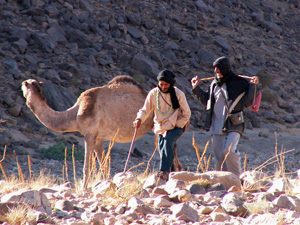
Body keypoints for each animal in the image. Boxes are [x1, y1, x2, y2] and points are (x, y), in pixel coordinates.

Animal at [22, 75, 182, 188]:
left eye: (25, 85)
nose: (22, 84)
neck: (75, 114)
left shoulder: (89, 135)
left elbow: (87, 167)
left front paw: (84, 189)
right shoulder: (98, 138)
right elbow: (104, 166)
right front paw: (106, 185)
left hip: (158, 126)